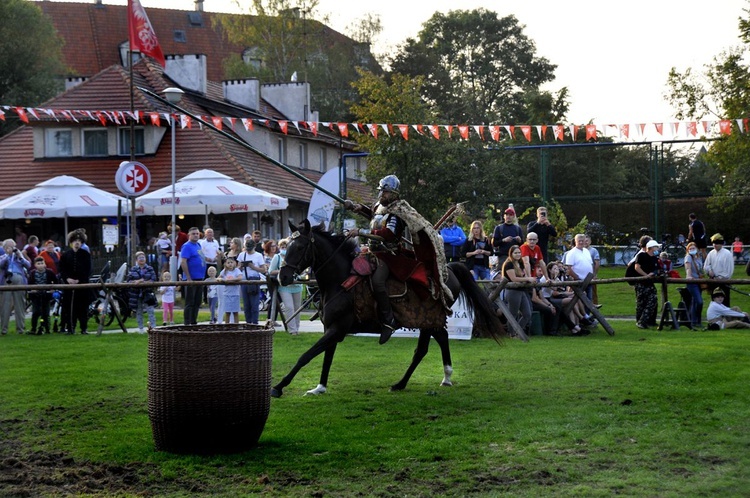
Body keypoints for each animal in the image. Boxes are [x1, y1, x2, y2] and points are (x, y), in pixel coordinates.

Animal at [274, 220, 508, 398]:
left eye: (300, 247)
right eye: (287, 247)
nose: (282, 277)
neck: (339, 281)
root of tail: (448, 268)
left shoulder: (337, 329)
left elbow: (306, 355)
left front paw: (278, 387)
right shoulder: (332, 329)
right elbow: (326, 357)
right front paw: (320, 387)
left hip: (426, 318)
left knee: (422, 350)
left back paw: (401, 383)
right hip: (431, 319)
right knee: (441, 338)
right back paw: (445, 377)